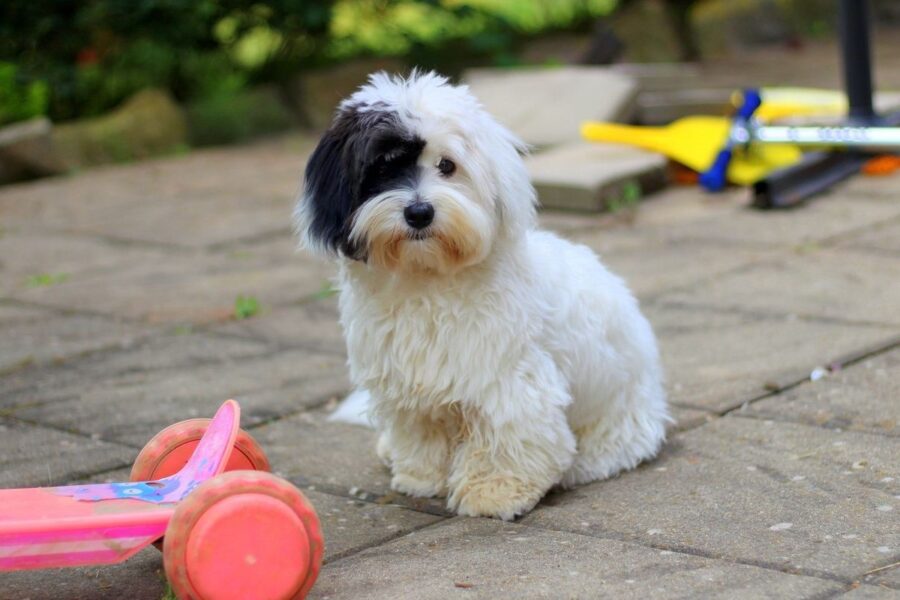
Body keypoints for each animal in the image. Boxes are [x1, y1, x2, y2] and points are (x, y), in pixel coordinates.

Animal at [296, 70, 668, 520]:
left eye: (447, 165)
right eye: (383, 167)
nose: (419, 213)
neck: (428, 277)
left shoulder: (507, 376)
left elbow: (507, 432)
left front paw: (495, 490)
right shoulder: (406, 379)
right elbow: (420, 430)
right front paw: (421, 476)